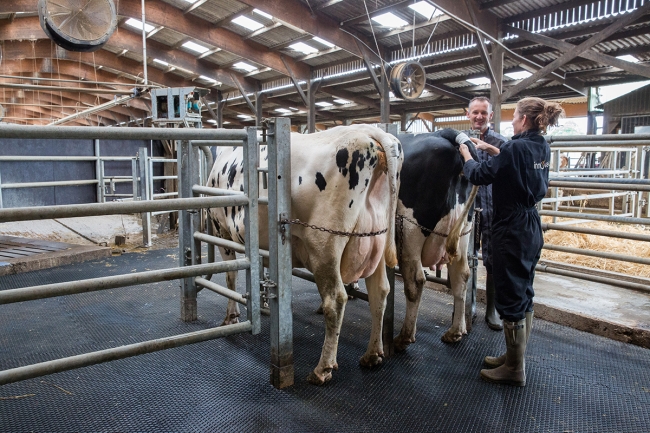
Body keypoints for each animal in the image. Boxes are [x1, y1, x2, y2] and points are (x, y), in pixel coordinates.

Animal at [206, 125, 400, 384]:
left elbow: (230, 276)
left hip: (324, 247)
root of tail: (370, 132)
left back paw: (322, 368)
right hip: (375, 242)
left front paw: (232, 316)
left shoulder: (222, 231)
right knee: (380, 293)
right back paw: (372, 355)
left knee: (335, 300)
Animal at [378, 129, 478, 352]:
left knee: (415, 281)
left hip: (410, 230)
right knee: (461, 276)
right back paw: (456, 331)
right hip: (463, 233)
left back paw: (404, 337)